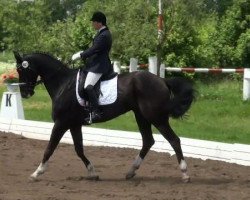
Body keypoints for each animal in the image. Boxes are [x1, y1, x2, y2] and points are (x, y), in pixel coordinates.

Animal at [13, 52, 195, 183]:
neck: (63, 83)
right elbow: (79, 149)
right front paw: (93, 173)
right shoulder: (73, 124)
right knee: (148, 141)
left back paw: (185, 174)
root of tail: (162, 80)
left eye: (22, 69)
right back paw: (130, 172)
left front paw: (36, 173)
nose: (25, 93)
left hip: (156, 117)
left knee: (174, 140)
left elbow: (49, 148)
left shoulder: (61, 123)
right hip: (141, 116)